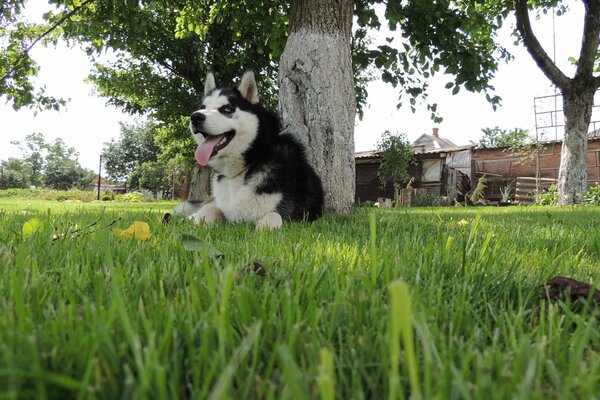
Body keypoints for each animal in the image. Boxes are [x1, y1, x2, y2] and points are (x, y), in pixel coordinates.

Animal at [173, 70, 324, 228]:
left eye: (227, 109)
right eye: (203, 107)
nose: (195, 117)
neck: (251, 162)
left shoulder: (299, 217)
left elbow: (274, 216)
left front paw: (263, 229)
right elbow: (207, 209)